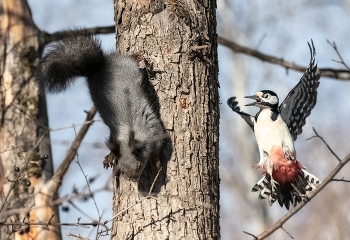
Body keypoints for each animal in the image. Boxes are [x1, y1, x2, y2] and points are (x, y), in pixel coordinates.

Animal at [36, 29, 165, 180]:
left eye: (139, 166)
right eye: (123, 170)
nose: (132, 179)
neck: (127, 134)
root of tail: (99, 67)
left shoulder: (156, 134)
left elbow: (157, 151)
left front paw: (156, 164)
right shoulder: (115, 137)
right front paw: (111, 156)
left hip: (127, 65)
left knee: (131, 59)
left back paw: (137, 56)